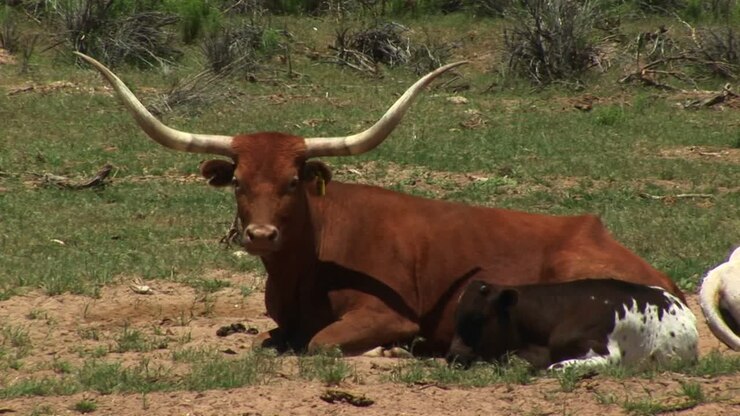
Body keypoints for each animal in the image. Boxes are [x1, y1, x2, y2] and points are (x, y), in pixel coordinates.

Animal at [75, 51, 684, 356]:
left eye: (293, 181)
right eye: (240, 182)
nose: (261, 236)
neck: (304, 267)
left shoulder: (387, 315)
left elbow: (319, 344)